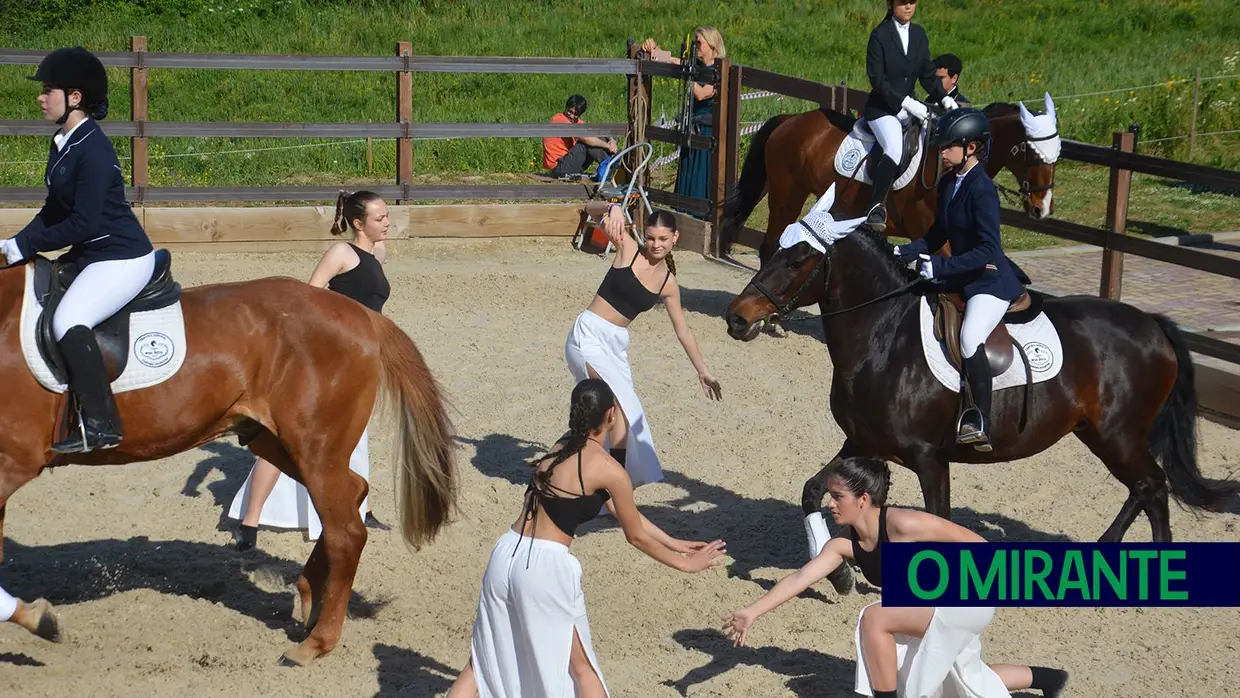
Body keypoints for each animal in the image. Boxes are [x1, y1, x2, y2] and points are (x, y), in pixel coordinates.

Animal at [0, 264, 458, 664]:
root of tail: (361, 314)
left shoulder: (11, 464)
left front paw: (38, 620)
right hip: (275, 441)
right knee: (352, 495)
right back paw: (309, 598)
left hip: (314, 447)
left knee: (347, 533)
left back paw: (316, 644)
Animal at [724, 91, 1061, 269]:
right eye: (1031, 153)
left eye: (1057, 156)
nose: (1041, 209)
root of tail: (790, 119)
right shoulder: (934, 238)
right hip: (787, 194)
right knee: (770, 247)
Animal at [724, 223, 1240, 595]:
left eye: (796, 261)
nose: (737, 319)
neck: (884, 337)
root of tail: (1152, 323)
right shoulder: (863, 442)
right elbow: (813, 491)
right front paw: (839, 573)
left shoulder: (929, 457)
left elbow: (939, 518)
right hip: (1098, 433)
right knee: (1145, 487)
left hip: (1119, 434)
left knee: (1152, 485)